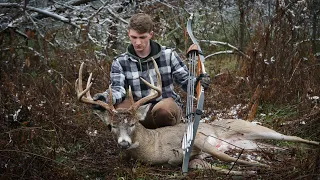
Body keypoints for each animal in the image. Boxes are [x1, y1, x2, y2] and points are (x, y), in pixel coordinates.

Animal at [75, 61, 318, 175]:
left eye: (133, 123)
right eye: (110, 126)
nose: (124, 143)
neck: (156, 147)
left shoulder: (197, 139)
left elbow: (225, 158)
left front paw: (259, 167)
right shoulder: (191, 160)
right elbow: (210, 165)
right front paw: (249, 169)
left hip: (251, 127)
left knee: (291, 137)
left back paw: (312, 145)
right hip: (249, 144)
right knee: (276, 148)